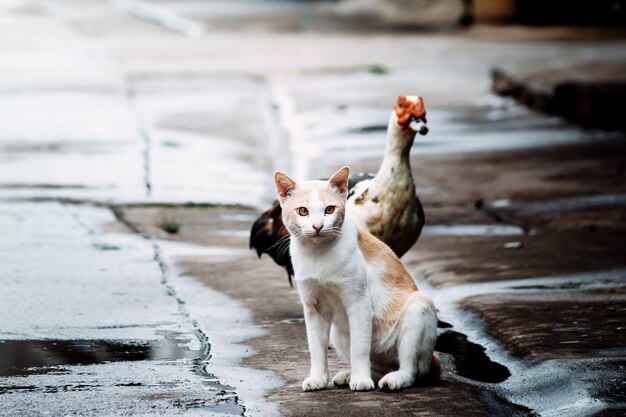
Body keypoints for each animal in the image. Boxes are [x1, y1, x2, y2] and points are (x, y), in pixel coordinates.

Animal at [272, 165, 438, 390]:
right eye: (303, 211)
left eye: (329, 210)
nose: (317, 226)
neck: (317, 254)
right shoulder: (313, 307)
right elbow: (316, 348)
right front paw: (318, 378)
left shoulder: (359, 303)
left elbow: (359, 348)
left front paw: (361, 380)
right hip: (338, 332)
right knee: (377, 364)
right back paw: (352, 375)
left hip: (417, 307)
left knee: (412, 369)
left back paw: (394, 378)